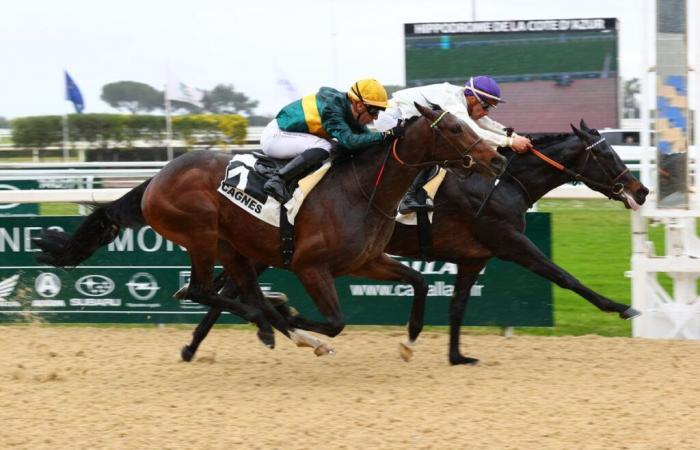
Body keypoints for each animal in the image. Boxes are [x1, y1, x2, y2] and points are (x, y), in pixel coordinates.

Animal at [34, 103, 504, 350]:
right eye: (456, 127)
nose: (497, 158)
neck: (360, 190)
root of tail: (156, 179)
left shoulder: (365, 261)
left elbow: (419, 281)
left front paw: (410, 336)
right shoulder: (310, 267)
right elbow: (334, 321)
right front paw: (300, 322)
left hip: (232, 246)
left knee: (233, 290)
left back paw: (271, 319)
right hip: (200, 234)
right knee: (203, 289)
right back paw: (280, 322)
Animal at [178, 120, 648, 366]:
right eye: (607, 155)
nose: (641, 190)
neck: (501, 182)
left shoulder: (473, 257)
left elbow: (458, 306)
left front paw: (456, 355)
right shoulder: (510, 242)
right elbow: (564, 276)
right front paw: (621, 306)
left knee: (230, 288)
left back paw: (203, 342)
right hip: (267, 248)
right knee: (230, 289)